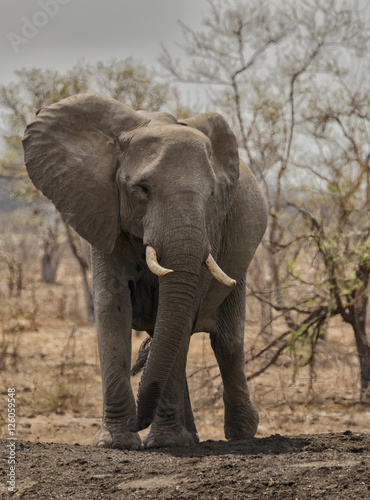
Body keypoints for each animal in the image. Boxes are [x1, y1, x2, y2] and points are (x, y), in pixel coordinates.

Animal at [22, 94, 266, 450]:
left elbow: (181, 312)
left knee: (225, 341)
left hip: (239, 263)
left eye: (212, 195)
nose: (139, 419)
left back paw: (240, 433)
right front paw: (116, 442)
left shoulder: (210, 233)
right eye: (143, 189)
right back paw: (190, 435)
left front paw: (165, 443)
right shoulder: (102, 210)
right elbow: (112, 306)